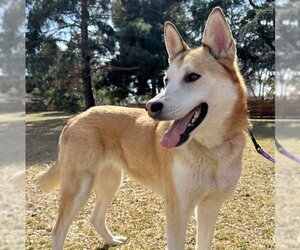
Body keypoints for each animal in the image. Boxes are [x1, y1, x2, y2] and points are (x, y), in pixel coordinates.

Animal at [36, 7, 250, 250]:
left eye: (192, 77)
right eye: (166, 80)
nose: (151, 107)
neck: (211, 149)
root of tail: (74, 119)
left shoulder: (209, 207)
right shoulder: (178, 210)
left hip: (110, 181)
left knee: (95, 218)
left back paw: (112, 240)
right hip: (79, 186)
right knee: (58, 230)